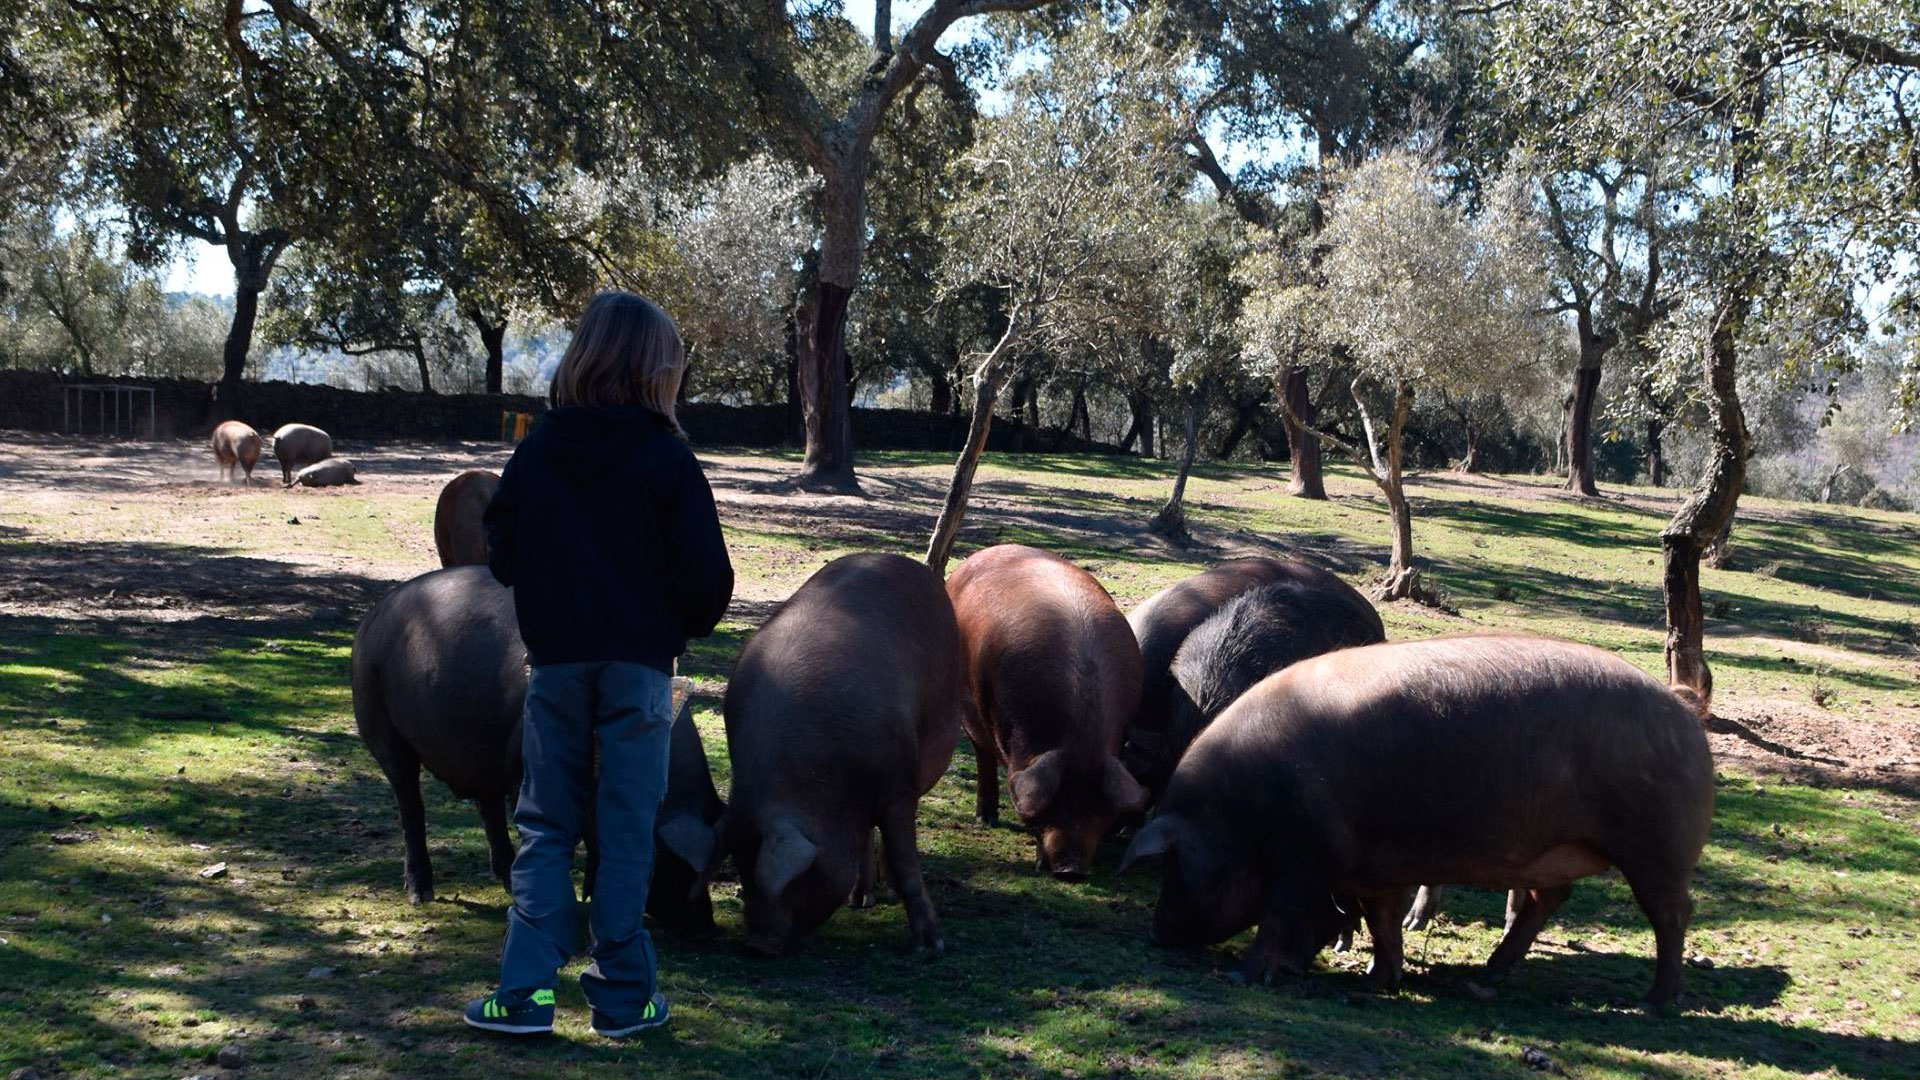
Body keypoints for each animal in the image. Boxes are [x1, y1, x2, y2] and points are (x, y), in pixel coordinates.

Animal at [721, 549, 967, 953]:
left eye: (800, 876)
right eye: (742, 867)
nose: (757, 944)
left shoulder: (898, 779)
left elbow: (904, 855)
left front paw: (931, 947)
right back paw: (860, 899)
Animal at [944, 541, 1136, 880]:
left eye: (1101, 809)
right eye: (1051, 804)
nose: (1071, 870)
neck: (1082, 739)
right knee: (982, 754)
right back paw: (985, 820)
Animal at [1121, 634, 1720, 1006]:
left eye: (1173, 866)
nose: (1154, 932)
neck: (1234, 813)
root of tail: (1683, 707)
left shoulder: (1305, 860)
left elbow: (1276, 915)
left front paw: (1242, 975)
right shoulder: (1368, 869)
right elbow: (1381, 921)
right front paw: (1376, 981)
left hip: (1658, 849)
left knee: (1672, 915)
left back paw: (1655, 1002)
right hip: (1560, 855)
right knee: (1543, 901)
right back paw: (1488, 975)